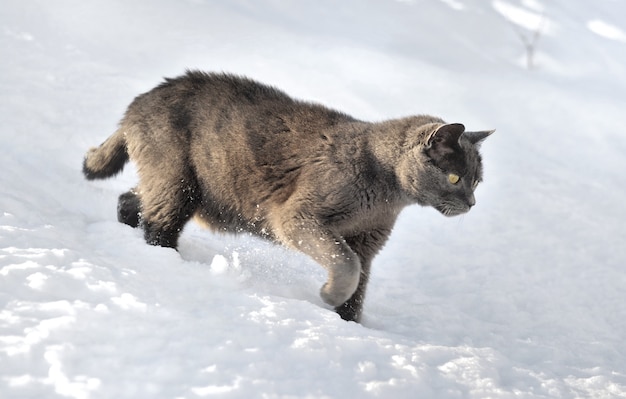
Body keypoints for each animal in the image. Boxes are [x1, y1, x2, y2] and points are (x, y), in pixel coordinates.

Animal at [83, 70, 492, 324]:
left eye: (477, 181)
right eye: (455, 177)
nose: (472, 204)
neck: (386, 195)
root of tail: (139, 101)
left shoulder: (367, 243)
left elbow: (359, 286)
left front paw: (348, 324)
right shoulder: (299, 217)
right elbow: (345, 264)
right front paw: (329, 297)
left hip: (179, 184)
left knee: (130, 200)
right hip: (179, 180)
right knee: (158, 224)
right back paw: (167, 263)